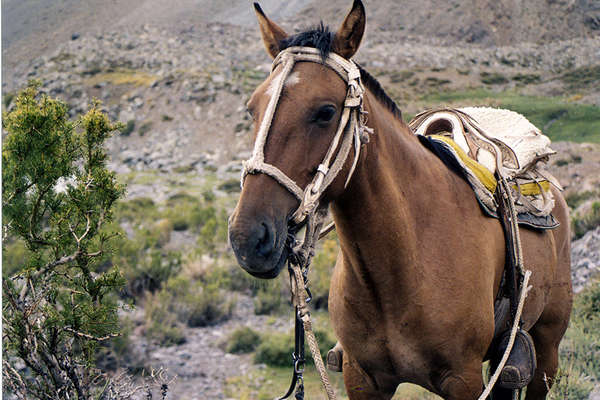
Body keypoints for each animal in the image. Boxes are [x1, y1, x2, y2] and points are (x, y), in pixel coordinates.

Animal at [227, 1, 576, 398]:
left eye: (326, 111)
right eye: (252, 109)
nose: (248, 238)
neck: (403, 263)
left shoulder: (464, 379)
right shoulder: (362, 378)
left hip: (546, 349)